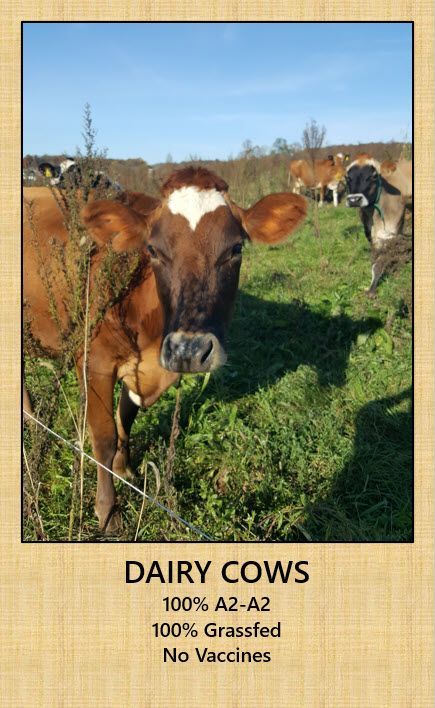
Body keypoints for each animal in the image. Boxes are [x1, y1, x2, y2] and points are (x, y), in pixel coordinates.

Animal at [24, 167, 307, 533]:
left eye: (235, 248)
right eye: (153, 250)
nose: (189, 350)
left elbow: (126, 417)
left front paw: (126, 468)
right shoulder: (93, 362)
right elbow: (103, 437)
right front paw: (108, 511)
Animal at [345, 154, 412, 295]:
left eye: (373, 176)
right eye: (347, 177)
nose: (354, 199)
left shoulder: (387, 233)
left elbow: (380, 261)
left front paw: (372, 291)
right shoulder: (370, 234)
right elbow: (374, 260)